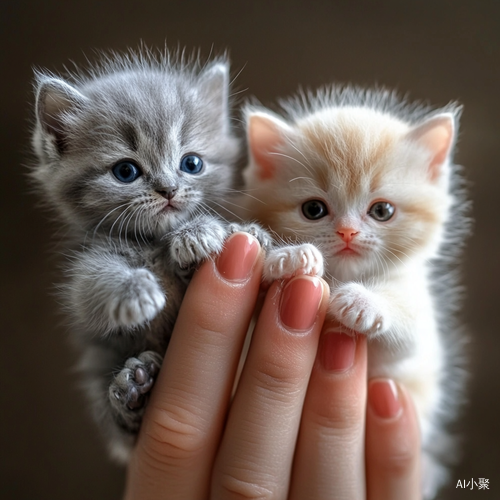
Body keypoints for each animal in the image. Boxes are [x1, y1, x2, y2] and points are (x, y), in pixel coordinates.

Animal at [31, 48, 268, 462]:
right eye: (126, 171)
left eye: (192, 163)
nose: (169, 189)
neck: (152, 243)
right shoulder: (85, 272)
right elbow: (91, 287)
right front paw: (136, 292)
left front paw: (207, 234)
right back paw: (133, 392)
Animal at [242, 88, 468, 498]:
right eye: (314, 209)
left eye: (382, 210)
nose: (347, 232)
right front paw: (286, 259)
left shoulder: (416, 331)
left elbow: (403, 336)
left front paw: (362, 302)